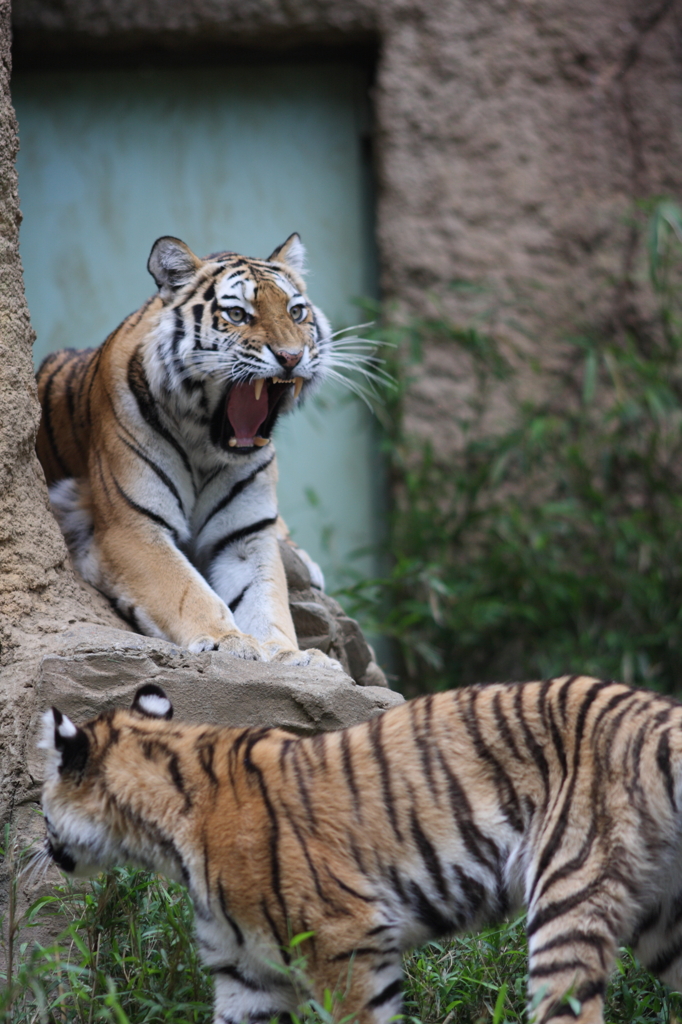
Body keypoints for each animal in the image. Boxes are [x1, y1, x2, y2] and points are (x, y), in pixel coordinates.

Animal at [33, 232, 339, 663]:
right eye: (238, 315)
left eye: (296, 312)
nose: (292, 357)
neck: (205, 447)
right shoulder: (131, 527)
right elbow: (186, 589)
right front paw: (229, 640)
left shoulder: (247, 536)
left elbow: (267, 601)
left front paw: (289, 654)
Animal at [37, 675, 682, 1019]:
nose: (43, 846)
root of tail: (656, 717)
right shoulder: (246, 973)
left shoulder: (343, 944)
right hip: (664, 925)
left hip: (567, 896)